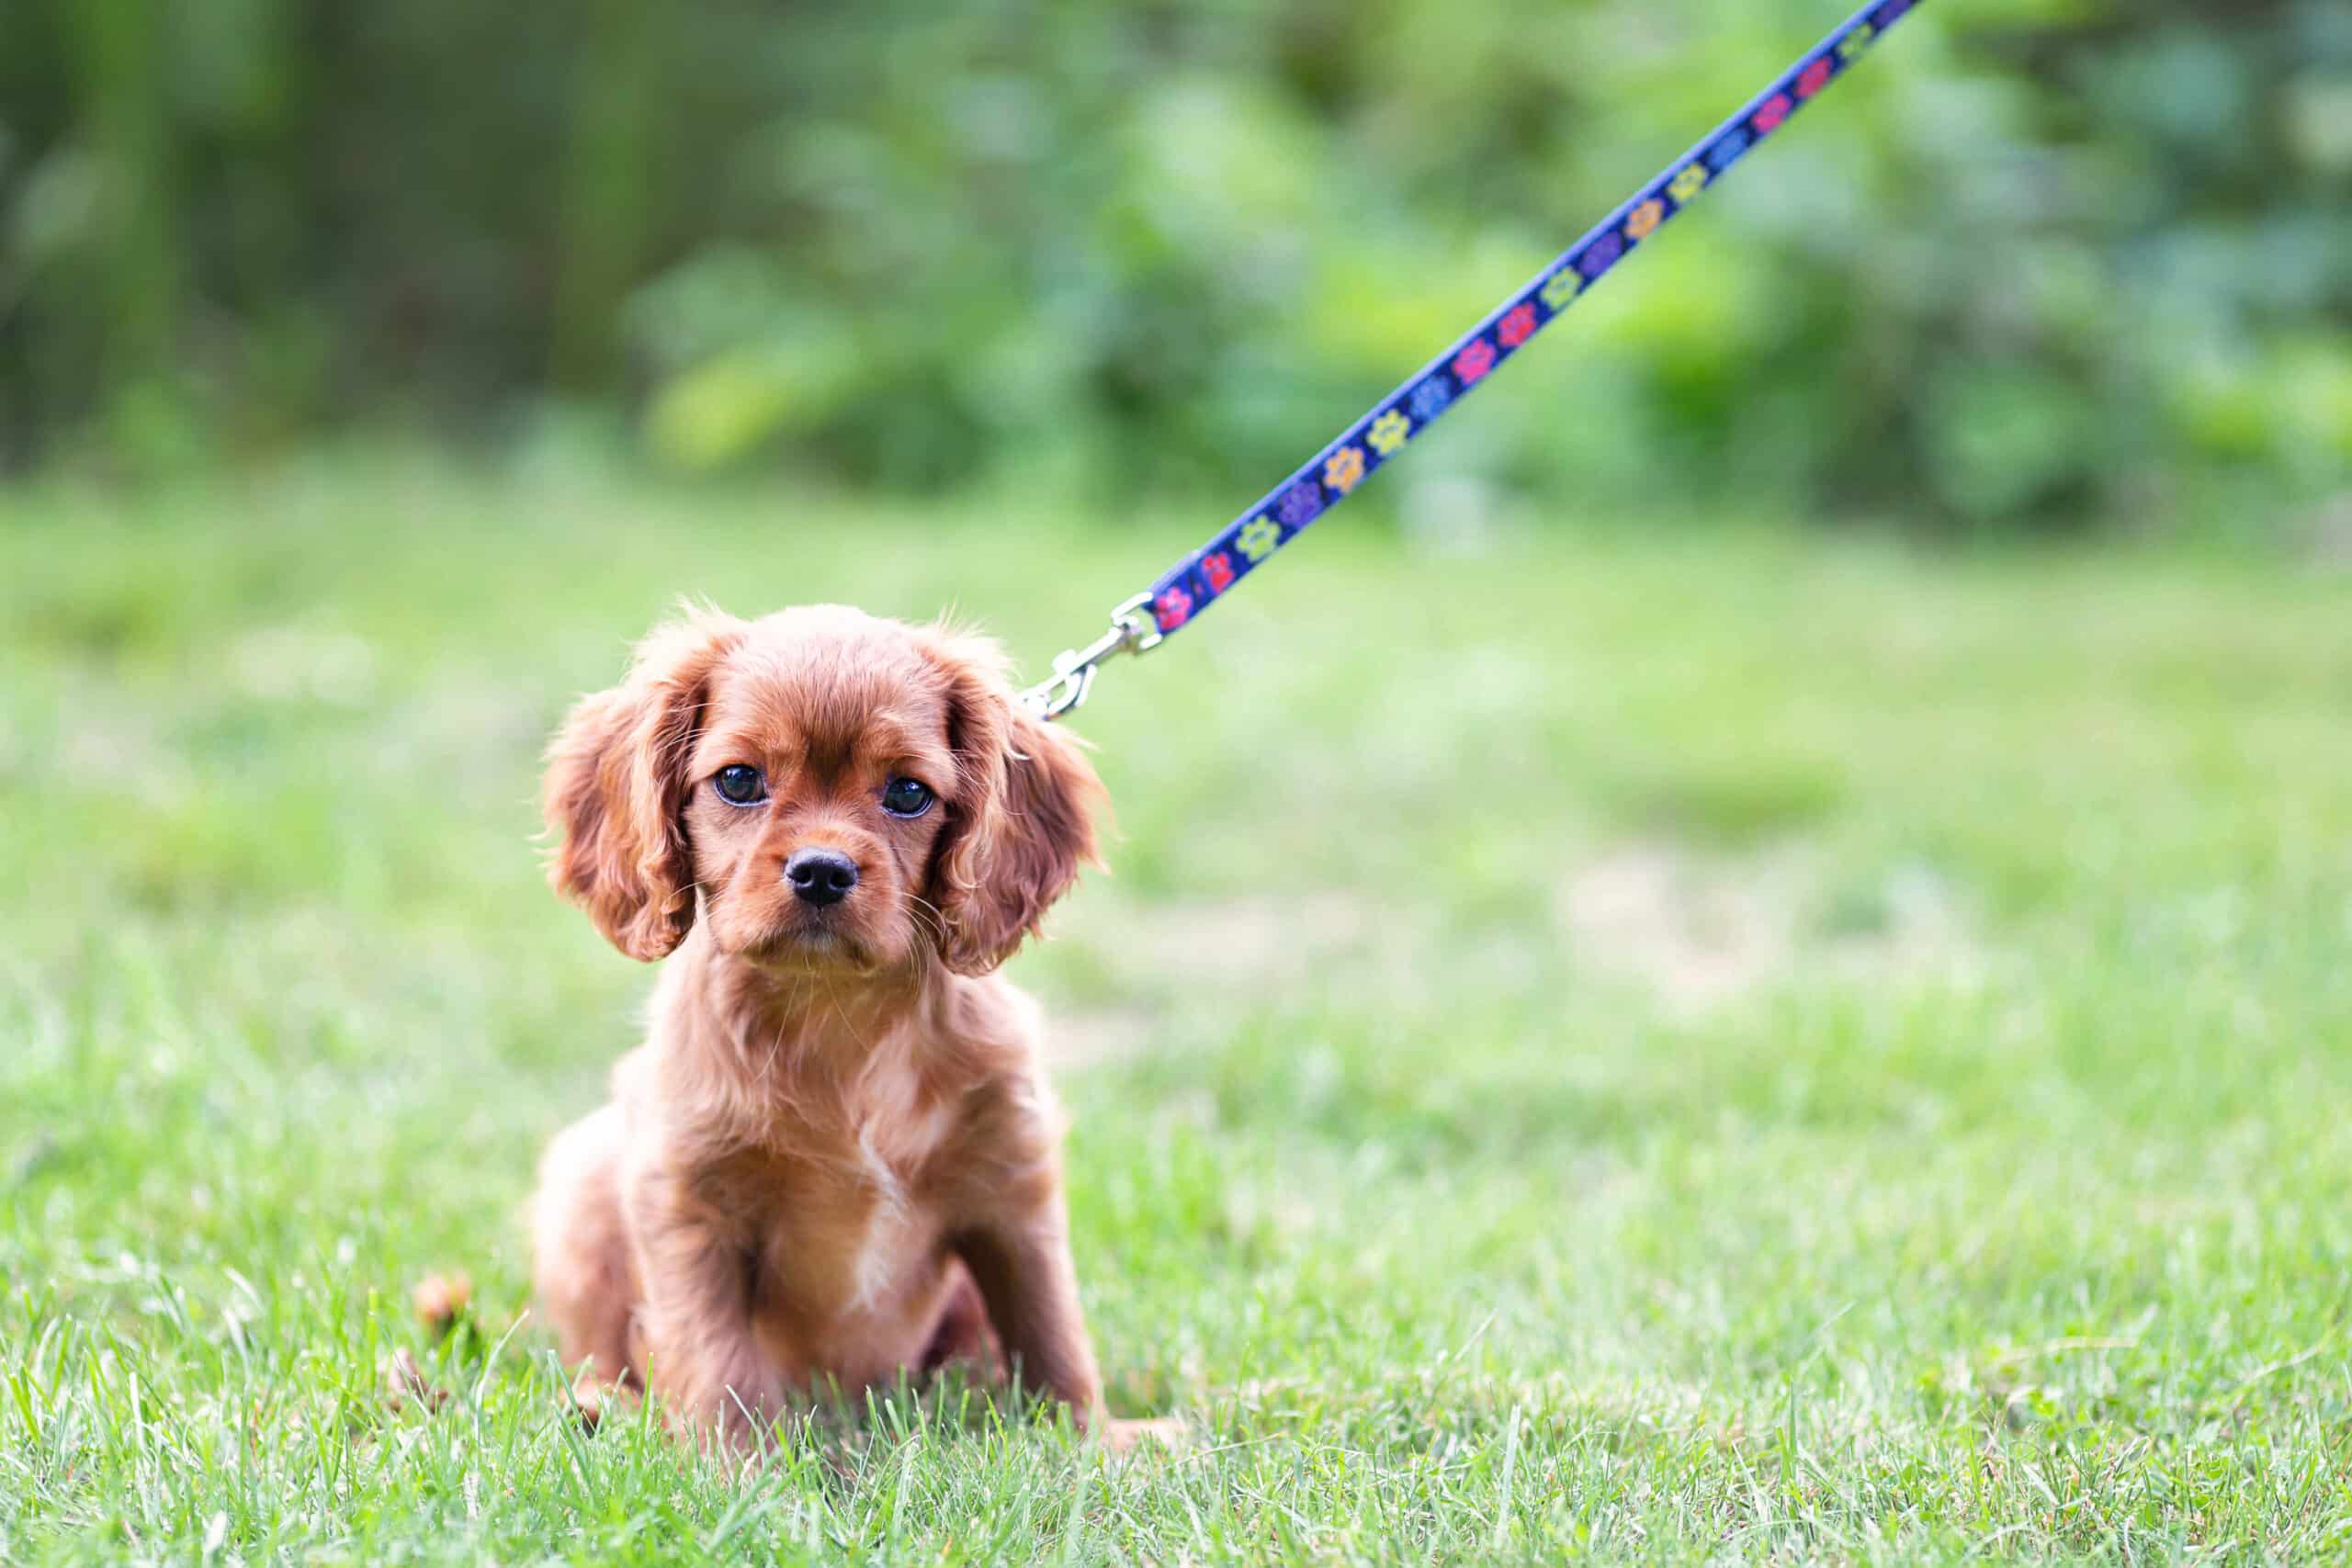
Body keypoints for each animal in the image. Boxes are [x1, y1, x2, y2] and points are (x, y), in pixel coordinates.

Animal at [531, 602, 1157, 1448]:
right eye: (738, 780)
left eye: (908, 792)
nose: (822, 870)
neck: (834, 1010)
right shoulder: (686, 1199)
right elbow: (716, 1357)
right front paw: (739, 1468)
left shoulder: (1011, 1185)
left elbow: (1048, 1325)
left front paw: (1091, 1440)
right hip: (581, 1180)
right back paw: (605, 1404)